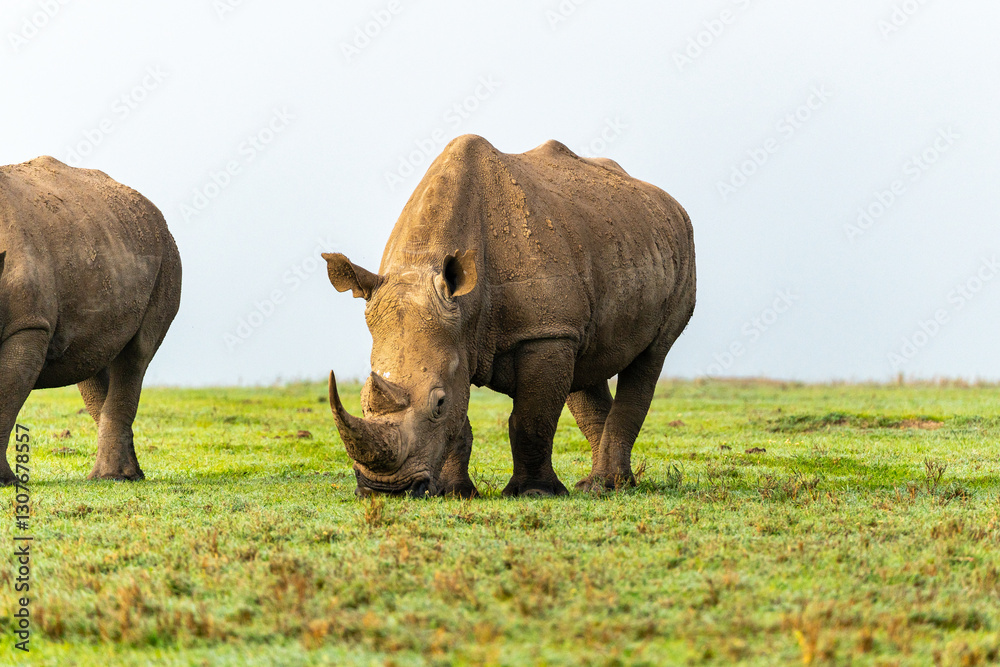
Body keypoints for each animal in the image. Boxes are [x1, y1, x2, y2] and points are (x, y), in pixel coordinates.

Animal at [0, 156, 181, 484]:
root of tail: (156, 216)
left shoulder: (29, 324)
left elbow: (5, 393)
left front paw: (4, 482)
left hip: (166, 257)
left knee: (136, 355)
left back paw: (112, 477)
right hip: (106, 241)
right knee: (93, 363)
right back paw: (129, 475)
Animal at [324, 135, 695, 498]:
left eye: (438, 403)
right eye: (363, 402)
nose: (384, 490)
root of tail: (670, 204)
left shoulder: (543, 331)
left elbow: (531, 419)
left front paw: (534, 493)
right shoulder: (459, 341)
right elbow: (460, 424)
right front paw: (456, 493)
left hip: (677, 250)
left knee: (651, 356)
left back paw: (604, 485)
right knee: (588, 362)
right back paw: (605, 486)